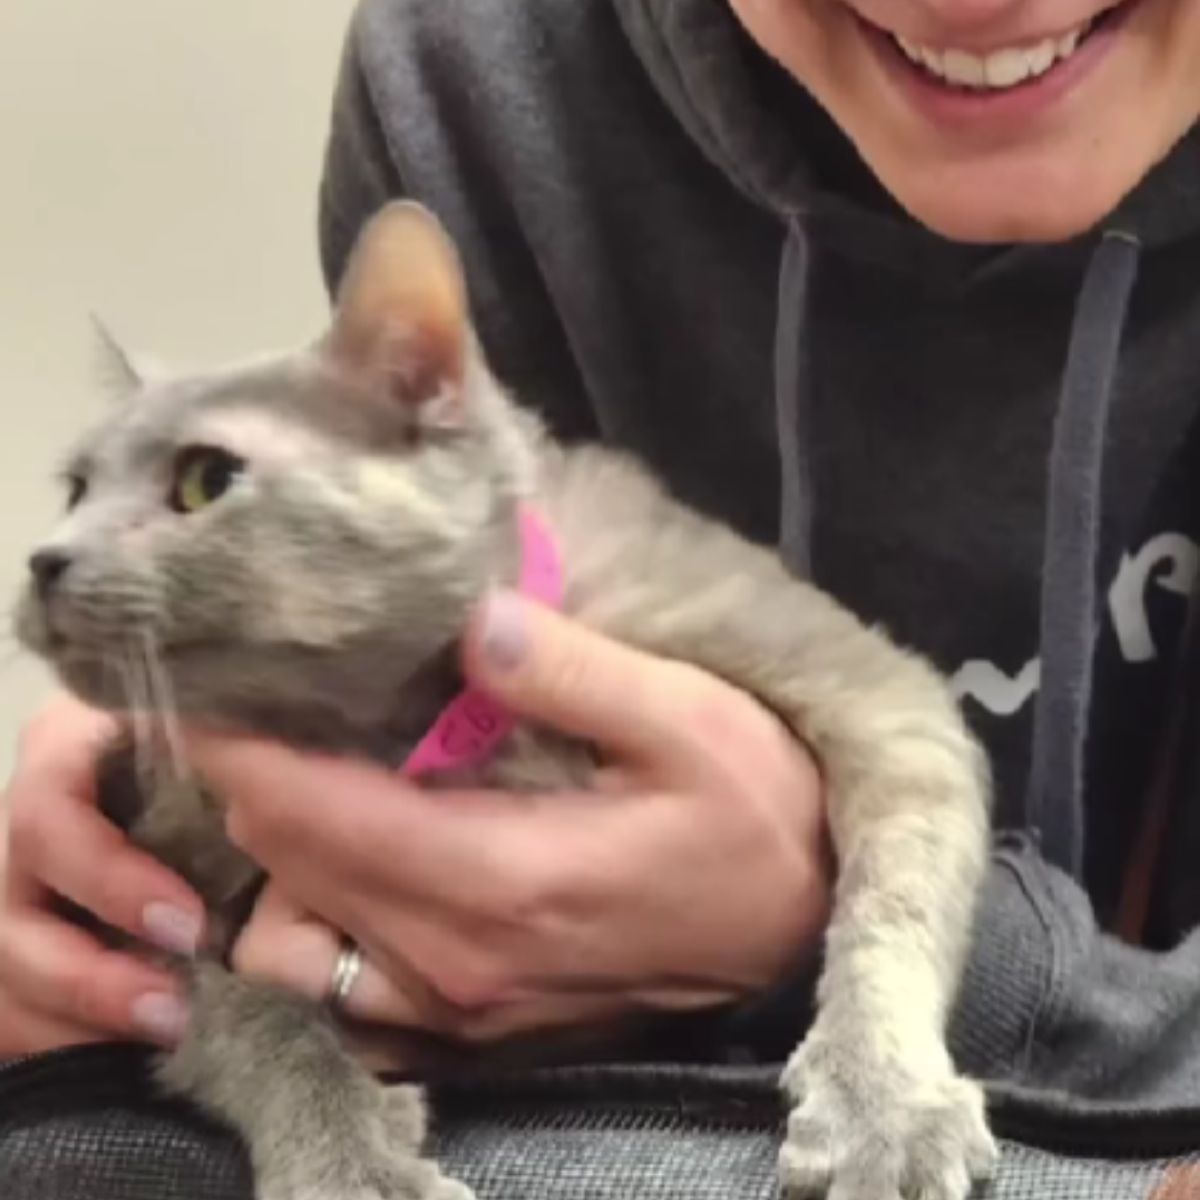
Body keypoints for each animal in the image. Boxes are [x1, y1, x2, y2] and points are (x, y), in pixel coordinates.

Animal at [14, 201, 998, 1195]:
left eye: (205, 478)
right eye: (77, 489)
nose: (45, 560)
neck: (406, 727)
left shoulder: (871, 689)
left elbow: (892, 903)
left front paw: (883, 1108)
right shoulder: (154, 870)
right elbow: (254, 1019)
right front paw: (350, 1158)